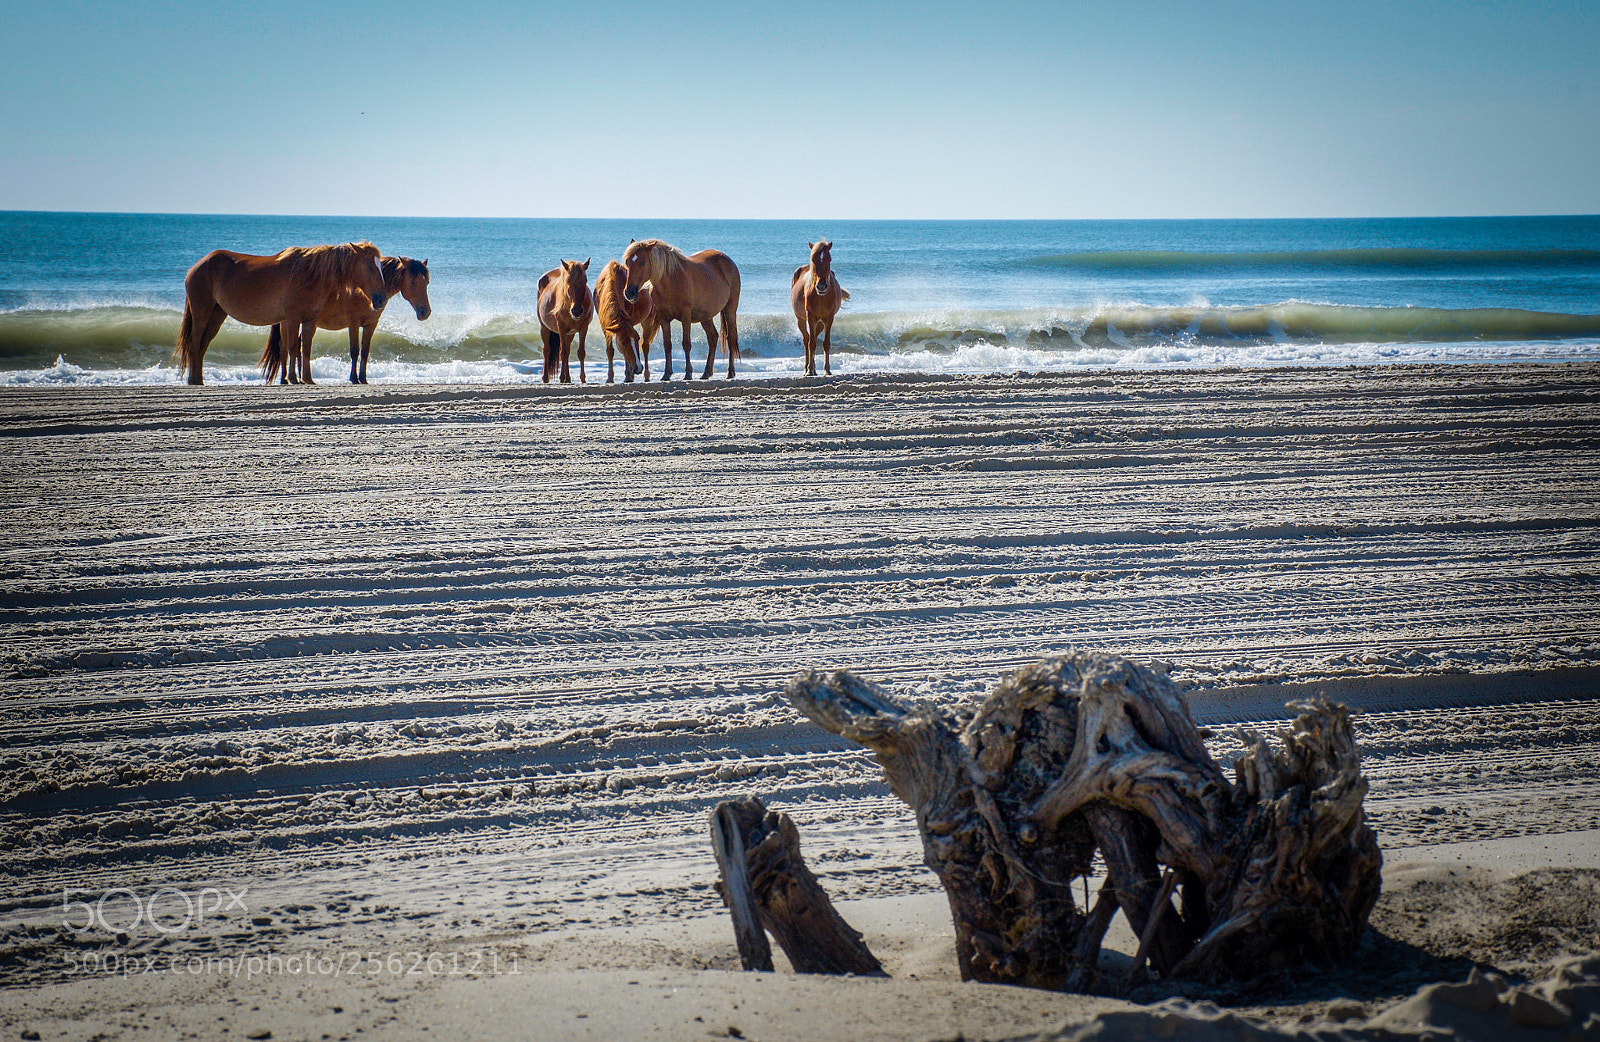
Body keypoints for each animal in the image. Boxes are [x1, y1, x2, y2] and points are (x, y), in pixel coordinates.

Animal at [175, 242, 386, 385]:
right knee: (195, 342)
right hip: (201, 312)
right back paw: (193, 380)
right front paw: (293, 378)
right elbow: (292, 347)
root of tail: (196, 266)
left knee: (203, 344)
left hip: (217, 315)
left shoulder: (310, 320)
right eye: (369, 266)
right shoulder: (293, 318)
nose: (381, 299)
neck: (309, 274)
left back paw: (199, 379)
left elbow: (305, 348)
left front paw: (307, 379)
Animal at [260, 256, 431, 385]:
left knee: (299, 346)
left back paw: (302, 379)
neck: (366, 291)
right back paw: (285, 379)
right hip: (288, 322)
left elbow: (365, 351)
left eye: (427, 282)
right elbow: (354, 350)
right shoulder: (353, 323)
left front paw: (363, 378)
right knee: (284, 348)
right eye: (413, 282)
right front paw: (354, 378)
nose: (425, 312)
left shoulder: (370, 325)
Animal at [620, 239, 740, 380]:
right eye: (627, 262)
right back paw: (706, 372)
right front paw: (666, 374)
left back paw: (730, 372)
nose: (629, 293)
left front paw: (688, 373)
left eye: (642, 262)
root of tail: (729, 261)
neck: (671, 281)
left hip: (730, 310)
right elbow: (667, 345)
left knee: (730, 338)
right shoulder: (663, 317)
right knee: (713, 337)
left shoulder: (685, 315)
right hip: (706, 316)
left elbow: (686, 344)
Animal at [791, 240, 849, 377]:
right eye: (813, 259)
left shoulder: (829, 318)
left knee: (813, 337)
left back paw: (814, 369)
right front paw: (809, 370)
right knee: (807, 340)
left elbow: (825, 343)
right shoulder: (810, 317)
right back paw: (807, 369)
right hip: (801, 319)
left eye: (829, 259)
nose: (821, 286)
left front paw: (827, 369)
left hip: (820, 322)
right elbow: (811, 343)